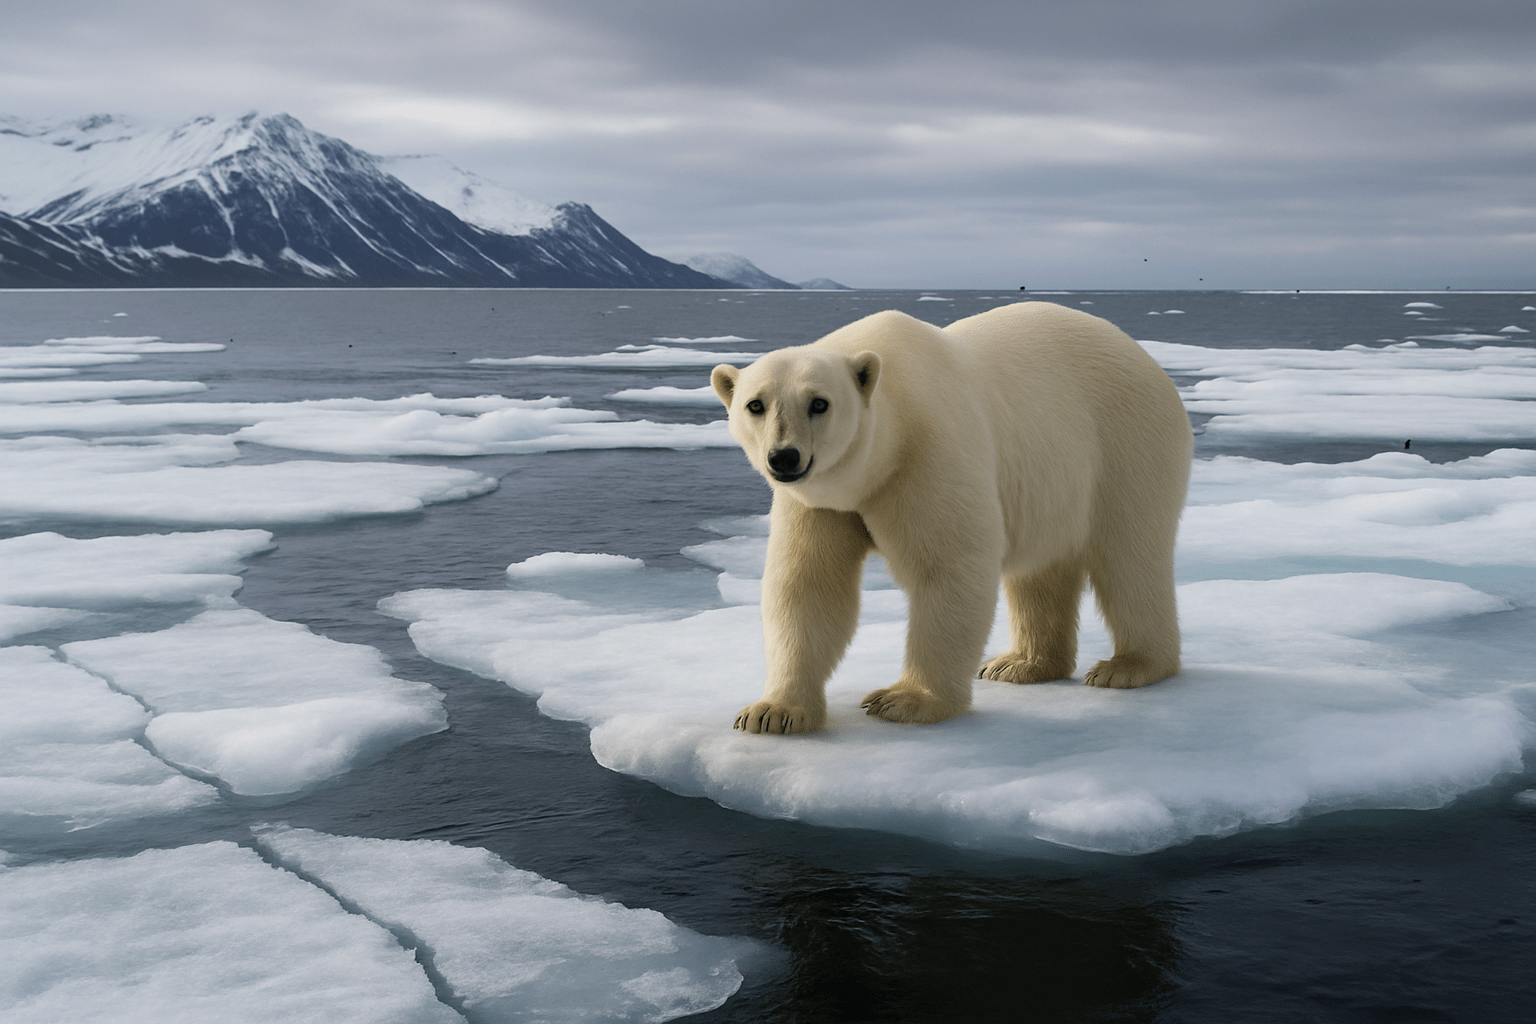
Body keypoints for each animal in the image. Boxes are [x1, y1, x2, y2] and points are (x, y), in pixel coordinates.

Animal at [710, 301, 1192, 734]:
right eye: (755, 405)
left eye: (819, 403)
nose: (785, 457)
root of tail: (1145, 358)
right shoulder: (819, 503)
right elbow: (809, 585)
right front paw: (772, 713)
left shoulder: (928, 452)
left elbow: (949, 568)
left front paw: (903, 701)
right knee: (1041, 571)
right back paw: (1020, 664)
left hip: (1125, 443)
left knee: (1129, 557)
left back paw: (1129, 666)